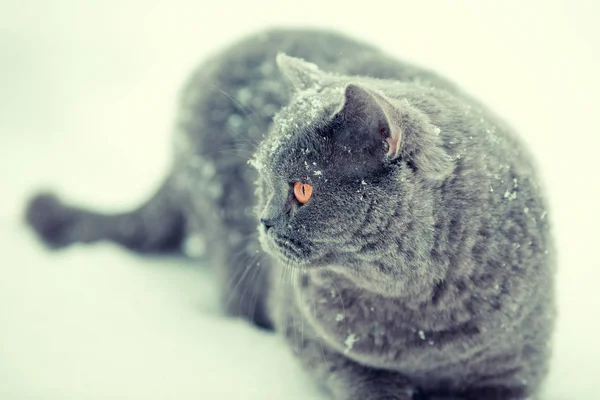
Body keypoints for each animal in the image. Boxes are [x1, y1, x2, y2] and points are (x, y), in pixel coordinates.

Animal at [25, 28, 556, 400]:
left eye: (302, 190)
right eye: (262, 178)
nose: (262, 221)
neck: (417, 315)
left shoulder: (511, 371)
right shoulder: (316, 341)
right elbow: (364, 381)